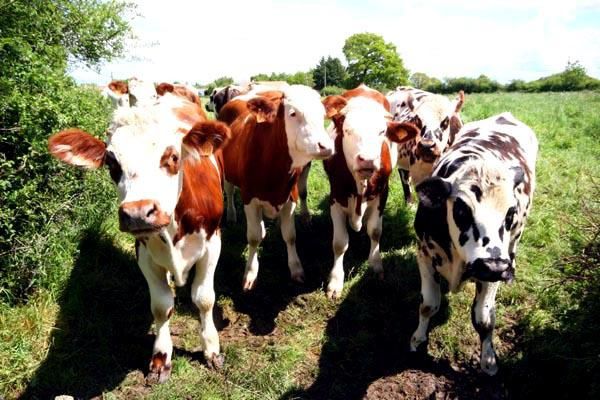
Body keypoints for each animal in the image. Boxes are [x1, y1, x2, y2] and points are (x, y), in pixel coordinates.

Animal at [46, 92, 230, 382]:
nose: (138, 213)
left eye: (173, 156)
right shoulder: (143, 252)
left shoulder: (212, 244)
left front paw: (211, 348)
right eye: (112, 163)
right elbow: (161, 305)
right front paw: (161, 357)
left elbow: (204, 299)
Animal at [324, 84, 418, 298]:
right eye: (347, 130)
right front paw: (335, 280)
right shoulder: (336, 196)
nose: (367, 159)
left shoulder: (382, 192)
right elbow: (339, 243)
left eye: (382, 131)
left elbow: (375, 231)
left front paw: (375, 265)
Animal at [410, 111, 536, 376]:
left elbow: (484, 319)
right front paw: (417, 339)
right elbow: (428, 305)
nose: (496, 267)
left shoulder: (490, 271)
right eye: (461, 210)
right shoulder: (424, 254)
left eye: (510, 213)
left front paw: (488, 360)